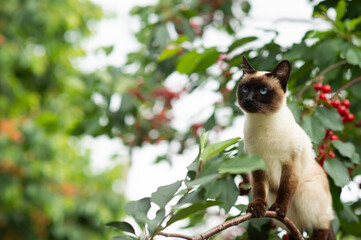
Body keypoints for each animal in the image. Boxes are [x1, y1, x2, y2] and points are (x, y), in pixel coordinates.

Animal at [236, 56, 334, 240]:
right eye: (244, 89)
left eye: (263, 91)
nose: (249, 100)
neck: (262, 123)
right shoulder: (256, 164)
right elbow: (259, 189)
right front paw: (257, 207)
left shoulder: (290, 162)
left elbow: (285, 189)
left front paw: (278, 208)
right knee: (296, 230)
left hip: (306, 194)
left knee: (323, 225)